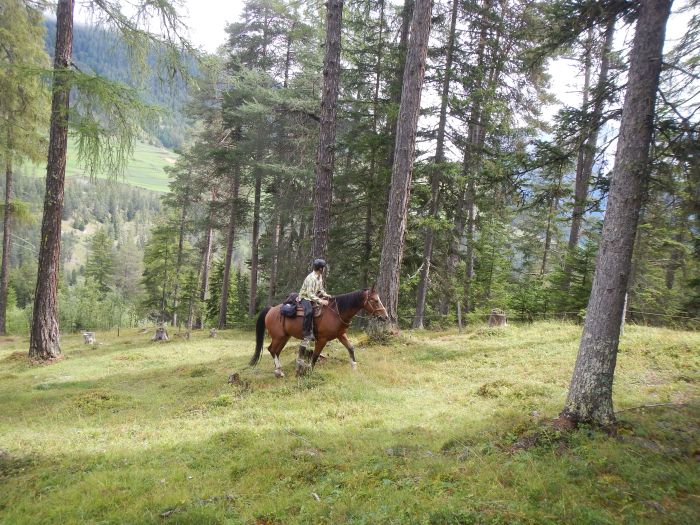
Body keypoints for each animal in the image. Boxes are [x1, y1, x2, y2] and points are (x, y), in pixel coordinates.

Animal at [249, 286, 388, 376]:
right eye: (375, 300)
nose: (385, 317)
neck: (337, 312)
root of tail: (271, 309)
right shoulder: (322, 339)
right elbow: (315, 355)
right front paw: (309, 371)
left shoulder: (341, 335)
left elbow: (351, 348)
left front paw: (354, 367)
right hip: (278, 337)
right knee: (271, 349)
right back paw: (279, 371)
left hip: (284, 337)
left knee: (276, 351)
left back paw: (279, 370)